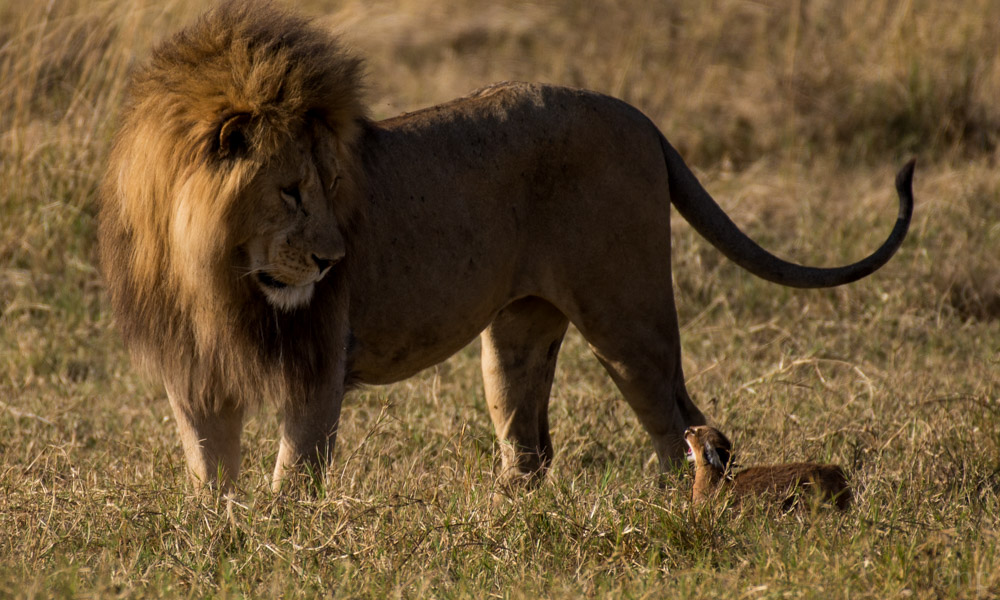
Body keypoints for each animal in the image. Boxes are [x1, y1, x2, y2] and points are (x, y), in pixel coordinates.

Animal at [99, 1, 916, 492]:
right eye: (292, 192)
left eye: (332, 185)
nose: (334, 262)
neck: (215, 271)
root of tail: (639, 115)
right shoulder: (194, 375)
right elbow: (208, 477)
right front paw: (219, 541)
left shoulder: (316, 367)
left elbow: (293, 476)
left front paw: (278, 543)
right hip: (518, 333)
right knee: (531, 446)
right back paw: (497, 521)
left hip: (627, 317)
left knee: (684, 425)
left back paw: (679, 509)